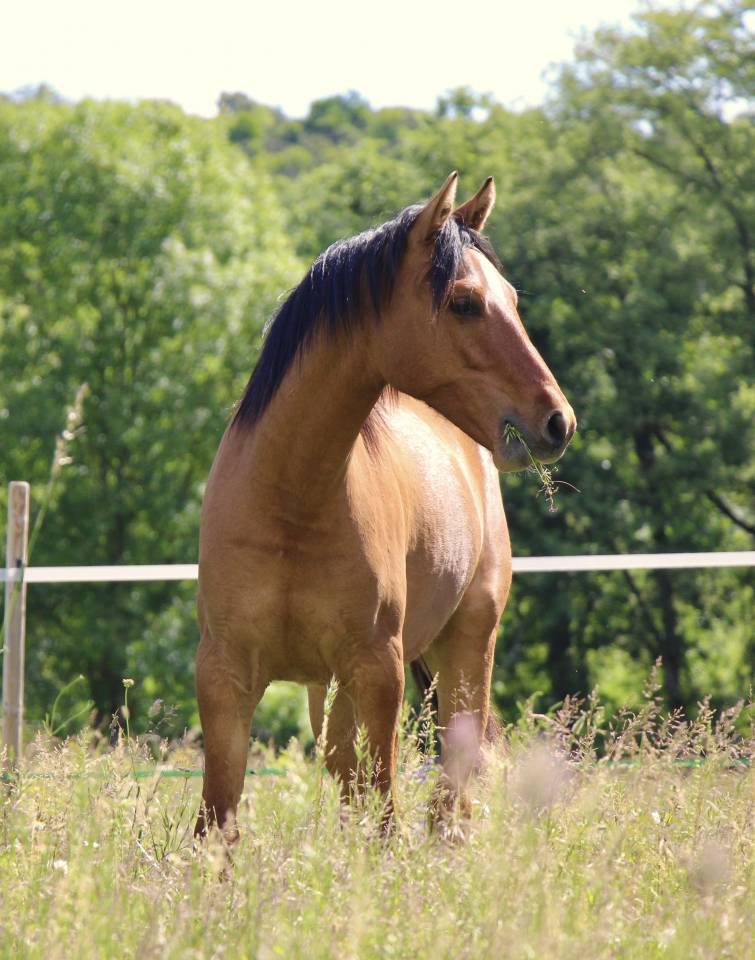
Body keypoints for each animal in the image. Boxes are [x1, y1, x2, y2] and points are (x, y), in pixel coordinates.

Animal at [194, 173, 576, 841]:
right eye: (465, 302)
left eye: (510, 298)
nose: (558, 420)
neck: (292, 498)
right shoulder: (226, 675)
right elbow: (218, 820)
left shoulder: (378, 670)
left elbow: (385, 813)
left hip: (466, 646)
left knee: (453, 781)